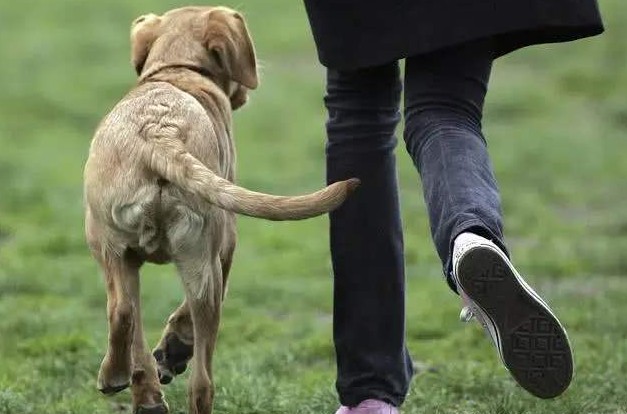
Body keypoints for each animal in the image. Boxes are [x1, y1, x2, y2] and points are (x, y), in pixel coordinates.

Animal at [83, 6, 358, 414]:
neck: (179, 70)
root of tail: (159, 132)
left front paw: (154, 376)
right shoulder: (225, 247)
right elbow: (184, 318)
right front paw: (172, 352)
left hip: (113, 248)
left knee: (125, 313)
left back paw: (124, 381)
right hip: (196, 258)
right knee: (199, 376)